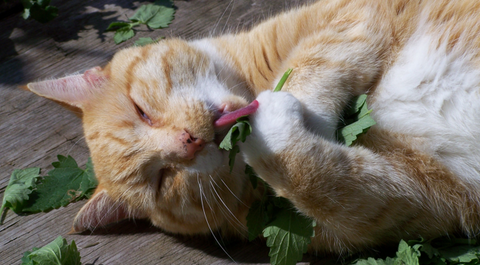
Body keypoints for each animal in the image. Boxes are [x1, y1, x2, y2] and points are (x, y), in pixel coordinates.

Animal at [25, 0, 480, 255]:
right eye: (162, 179)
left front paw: (289, 106)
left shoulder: (355, 16)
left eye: (142, 111)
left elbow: (311, 63)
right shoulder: (421, 201)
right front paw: (271, 132)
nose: (188, 141)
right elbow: (322, 180)